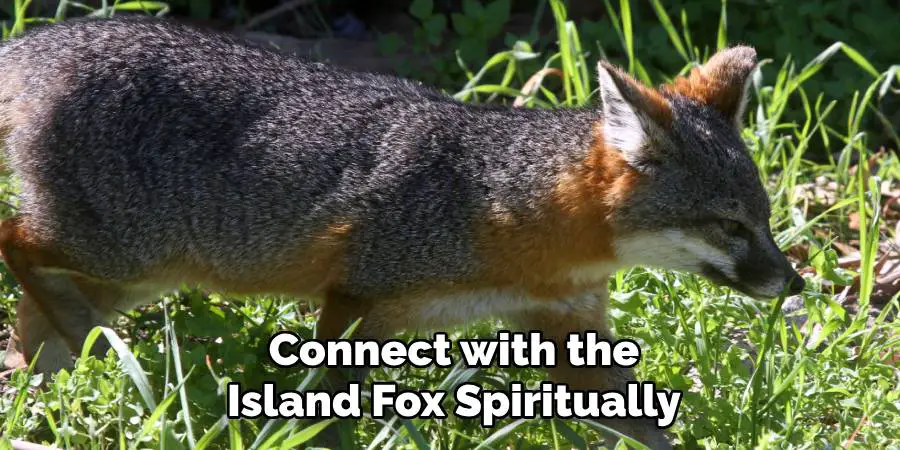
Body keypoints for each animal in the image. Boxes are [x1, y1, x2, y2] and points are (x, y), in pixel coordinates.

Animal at [0, 16, 804, 449]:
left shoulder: (569, 333)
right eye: (729, 225)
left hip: (134, 277)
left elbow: (646, 431)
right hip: (123, 256)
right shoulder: (355, 303)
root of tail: (57, 36)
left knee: (32, 337)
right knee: (14, 242)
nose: (794, 281)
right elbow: (329, 414)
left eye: (764, 221)